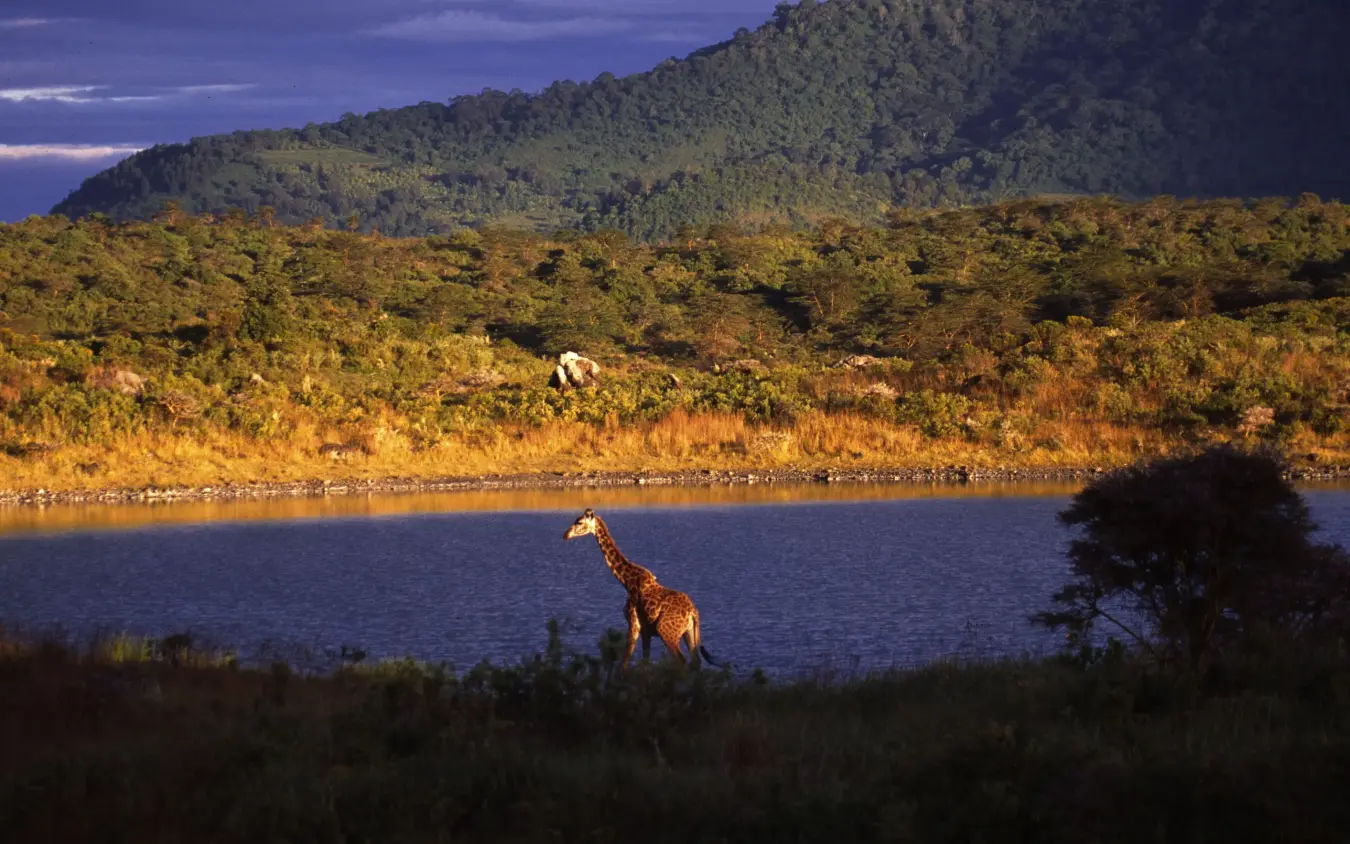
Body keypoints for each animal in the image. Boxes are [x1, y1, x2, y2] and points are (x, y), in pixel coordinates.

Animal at [563, 508, 719, 671]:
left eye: (579, 522)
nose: (565, 534)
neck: (627, 581)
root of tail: (693, 611)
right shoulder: (646, 630)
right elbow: (645, 661)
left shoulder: (634, 624)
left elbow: (624, 663)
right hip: (688, 632)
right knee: (695, 661)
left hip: (667, 632)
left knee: (682, 661)